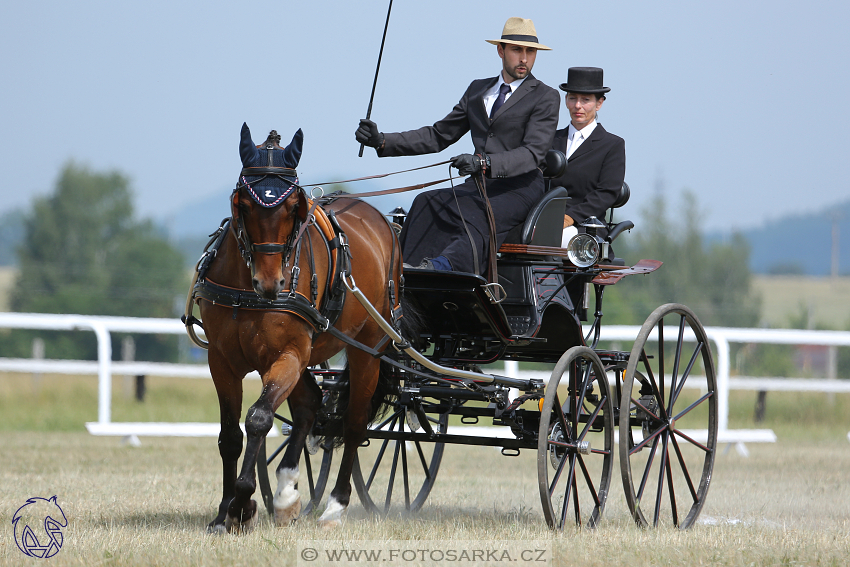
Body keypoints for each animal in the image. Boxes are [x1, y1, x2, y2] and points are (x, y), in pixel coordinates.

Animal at [191, 124, 400, 532]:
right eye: (243, 204)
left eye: (293, 208)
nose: (271, 283)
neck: (247, 291)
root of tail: (382, 220)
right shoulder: (222, 360)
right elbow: (230, 435)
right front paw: (224, 513)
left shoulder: (286, 354)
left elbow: (258, 419)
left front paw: (243, 503)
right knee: (308, 408)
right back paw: (287, 492)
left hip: (366, 349)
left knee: (354, 424)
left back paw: (335, 505)